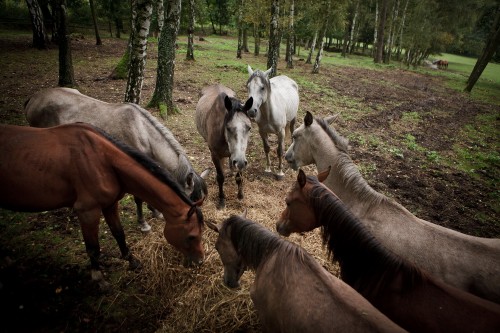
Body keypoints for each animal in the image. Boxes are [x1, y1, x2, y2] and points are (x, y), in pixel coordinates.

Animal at [0, 123, 205, 290]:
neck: (102, 160)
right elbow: (93, 248)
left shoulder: (110, 205)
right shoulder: (88, 212)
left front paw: (132, 261)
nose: (201, 262)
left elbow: (119, 234)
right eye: (192, 236)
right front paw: (99, 279)